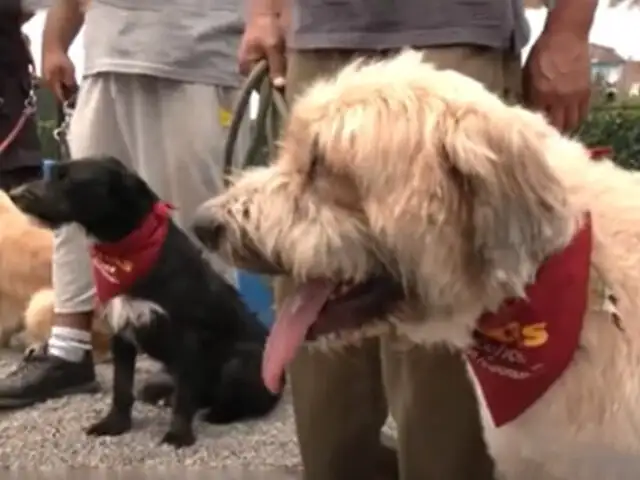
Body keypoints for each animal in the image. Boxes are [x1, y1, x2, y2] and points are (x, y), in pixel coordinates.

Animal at [11, 157, 282, 446]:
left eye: (67, 178)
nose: (15, 194)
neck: (126, 251)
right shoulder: (122, 333)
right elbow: (122, 387)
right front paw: (115, 423)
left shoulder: (187, 338)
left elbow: (185, 394)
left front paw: (178, 434)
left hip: (240, 364)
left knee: (246, 401)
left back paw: (218, 413)